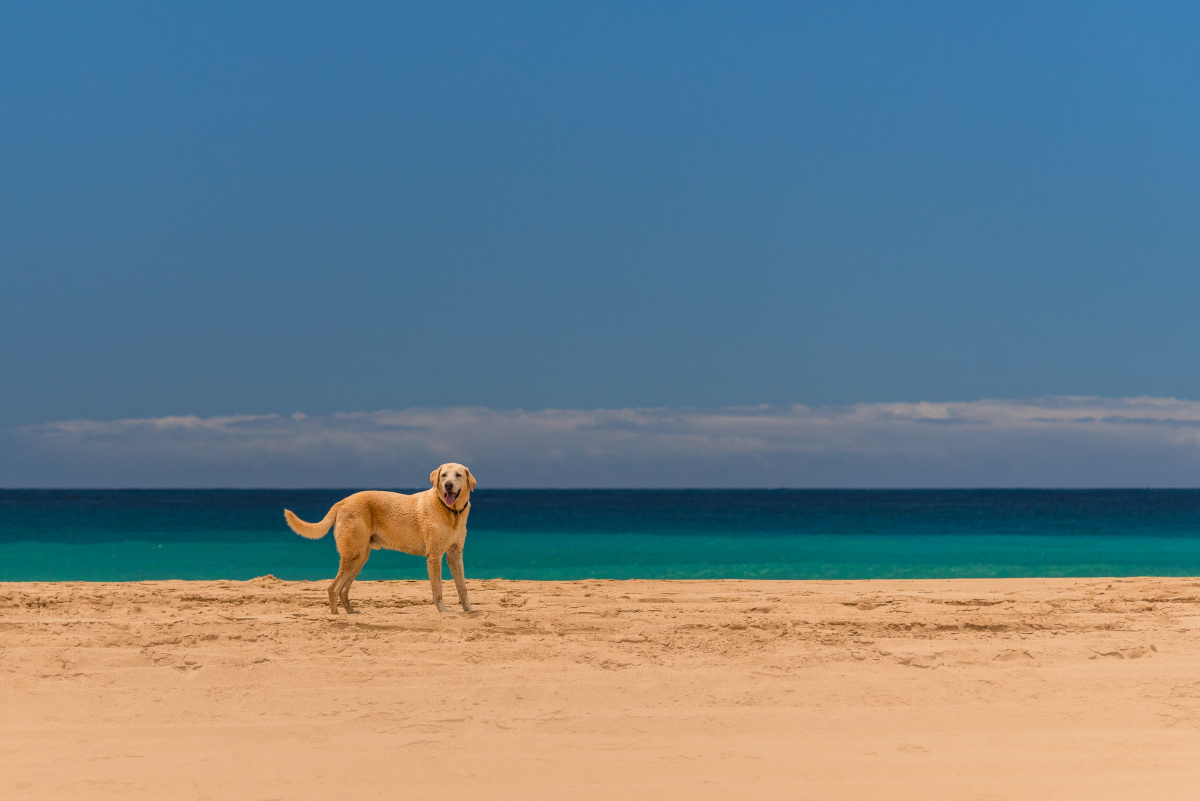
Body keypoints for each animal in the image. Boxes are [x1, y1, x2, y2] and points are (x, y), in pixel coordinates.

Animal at [283, 462, 475, 613]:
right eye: (443, 475)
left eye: (458, 475)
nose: (448, 485)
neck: (451, 512)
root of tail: (342, 501)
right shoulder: (434, 556)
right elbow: (438, 591)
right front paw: (443, 611)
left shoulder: (455, 554)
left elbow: (463, 587)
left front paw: (469, 610)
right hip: (353, 556)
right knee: (333, 587)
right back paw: (335, 615)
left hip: (360, 557)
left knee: (343, 589)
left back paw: (350, 612)